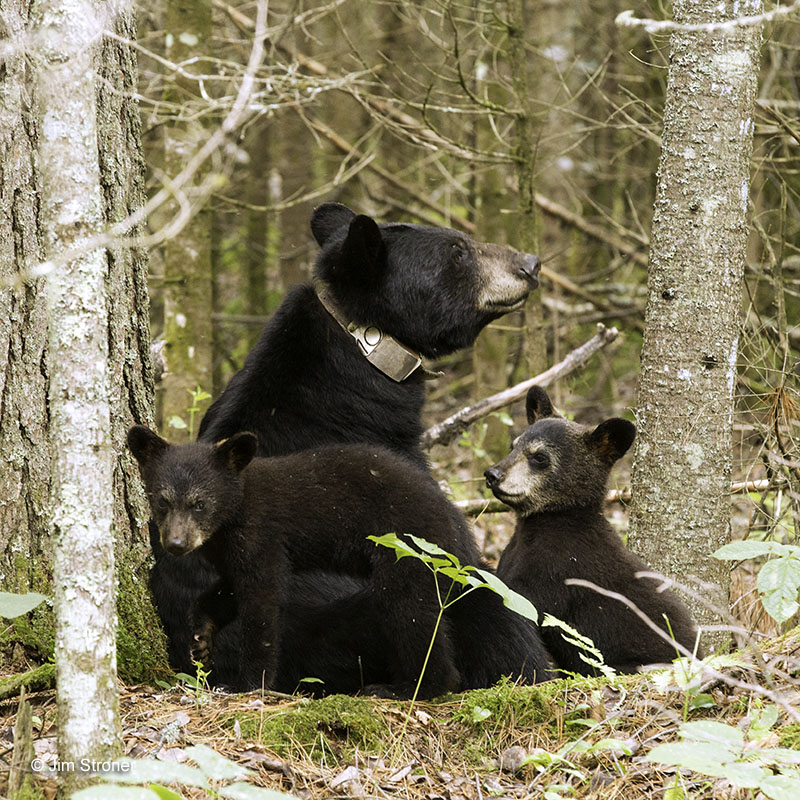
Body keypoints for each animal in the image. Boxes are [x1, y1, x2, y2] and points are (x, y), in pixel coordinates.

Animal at [130, 428, 552, 696]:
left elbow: (263, 603)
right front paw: (201, 638)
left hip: (409, 552)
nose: (176, 543)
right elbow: (227, 590)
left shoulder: (263, 535)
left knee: (411, 616)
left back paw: (402, 688)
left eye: (200, 503)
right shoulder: (231, 552)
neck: (231, 517)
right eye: (161, 501)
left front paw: (248, 683)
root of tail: (461, 538)